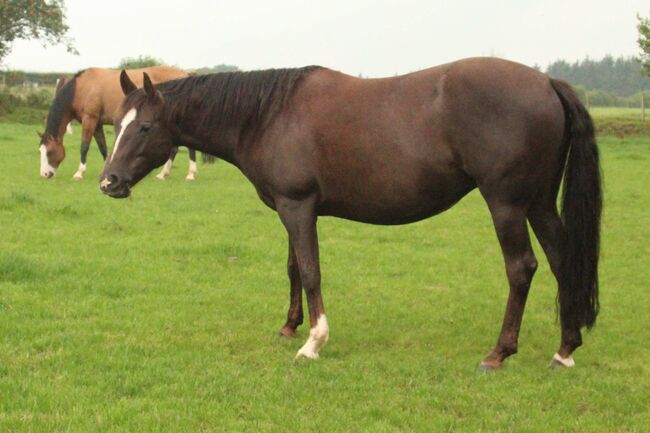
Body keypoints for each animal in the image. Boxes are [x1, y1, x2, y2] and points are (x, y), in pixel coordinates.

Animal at [38, 65, 205, 179]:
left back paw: (188, 174)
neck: (81, 89)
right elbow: (103, 148)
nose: (45, 174)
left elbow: (84, 147)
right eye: (40, 151)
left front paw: (79, 173)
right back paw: (165, 174)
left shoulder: (89, 119)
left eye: (50, 152)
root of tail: (187, 73)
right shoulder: (97, 124)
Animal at [98, 56, 600, 368]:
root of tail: (546, 82)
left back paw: (499, 352)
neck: (268, 114)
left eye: (145, 127)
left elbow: (311, 270)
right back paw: (565, 349)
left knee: (522, 268)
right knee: (562, 261)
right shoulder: (290, 207)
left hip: (507, 204)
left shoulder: (298, 207)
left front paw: (313, 343)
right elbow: (293, 268)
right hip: (538, 201)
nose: (109, 182)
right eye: (116, 124)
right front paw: (289, 327)